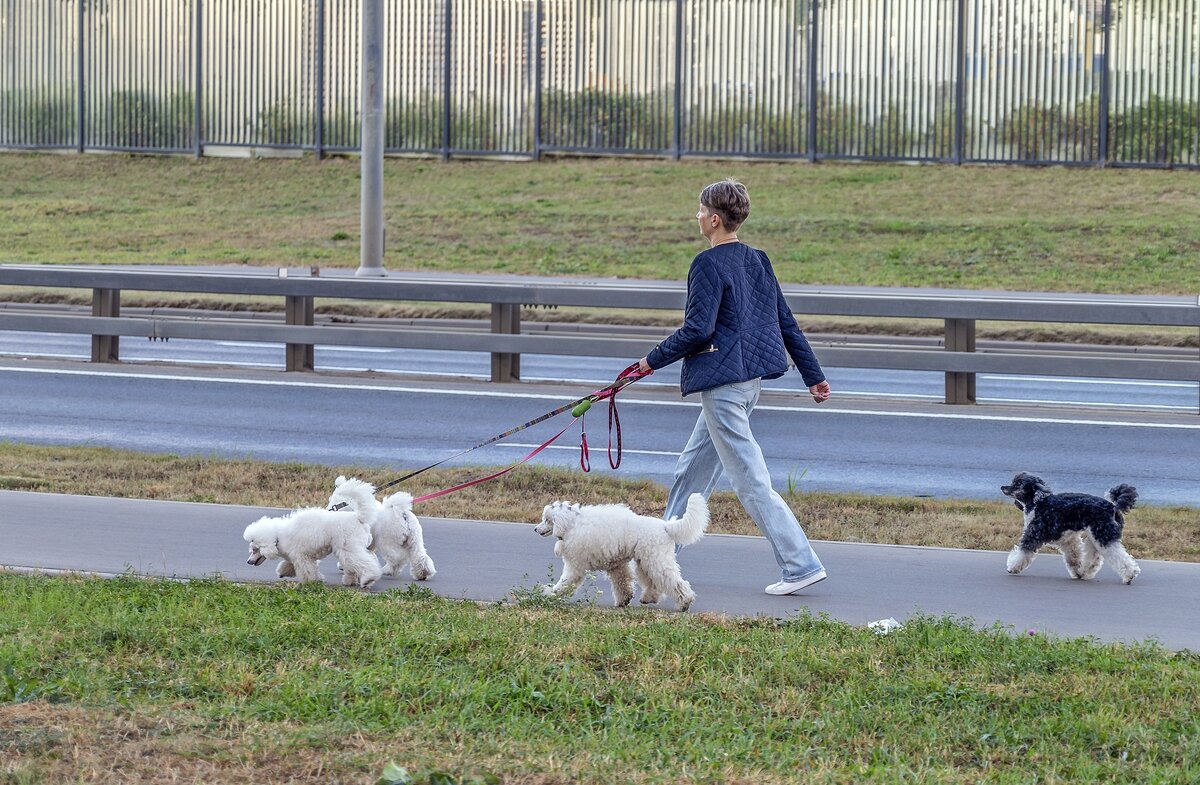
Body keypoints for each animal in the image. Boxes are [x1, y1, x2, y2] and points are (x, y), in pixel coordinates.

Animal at [240, 504, 379, 590]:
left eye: (255, 550)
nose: (248, 561)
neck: (278, 537)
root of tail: (358, 518)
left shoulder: (301, 556)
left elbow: (306, 569)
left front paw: (310, 582)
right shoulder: (303, 556)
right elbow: (295, 565)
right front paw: (284, 572)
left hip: (348, 546)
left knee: (361, 562)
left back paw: (368, 579)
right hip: (348, 548)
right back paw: (351, 581)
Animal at [532, 492, 705, 614]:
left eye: (547, 520)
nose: (535, 529)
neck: (571, 524)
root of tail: (666, 526)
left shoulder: (575, 566)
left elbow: (565, 582)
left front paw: (549, 594)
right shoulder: (616, 565)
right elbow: (622, 582)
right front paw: (624, 600)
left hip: (656, 560)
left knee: (674, 582)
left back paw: (685, 603)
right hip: (647, 560)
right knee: (653, 582)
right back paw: (649, 598)